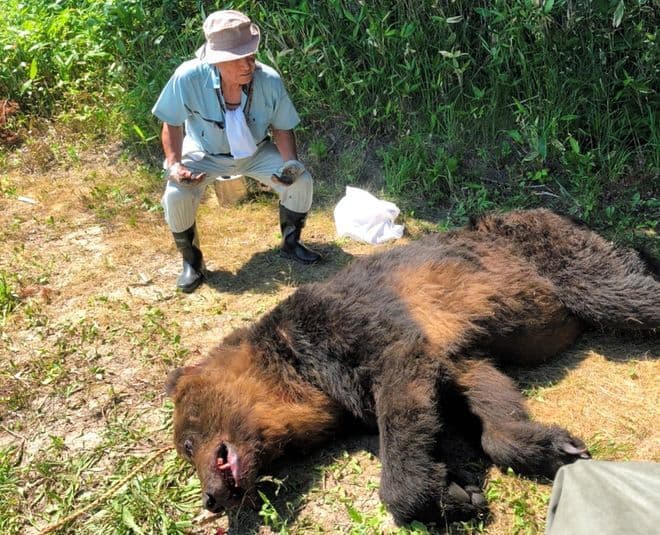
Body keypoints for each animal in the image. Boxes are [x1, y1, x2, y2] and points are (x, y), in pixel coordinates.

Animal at [166, 208, 659, 526]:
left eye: (187, 443)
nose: (210, 499)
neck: (301, 374)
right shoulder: (454, 354)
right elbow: (485, 397)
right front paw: (541, 452)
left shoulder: (352, 331)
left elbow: (401, 396)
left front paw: (438, 495)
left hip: (552, 255)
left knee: (622, 290)